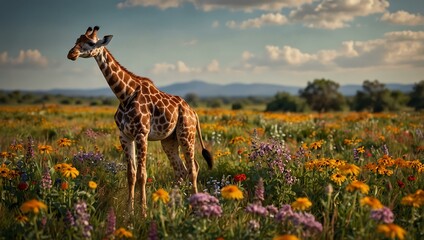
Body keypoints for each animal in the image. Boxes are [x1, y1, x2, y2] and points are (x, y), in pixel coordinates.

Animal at [68, 25, 214, 216]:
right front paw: (129, 211)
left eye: (91, 43)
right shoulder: (124, 136)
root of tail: (193, 112)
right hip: (169, 140)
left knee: (193, 168)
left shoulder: (141, 134)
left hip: (186, 135)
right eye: (76, 40)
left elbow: (143, 174)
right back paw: (176, 206)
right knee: (180, 170)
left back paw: (194, 207)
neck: (124, 95)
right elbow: (131, 174)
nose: (71, 54)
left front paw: (143, 212)